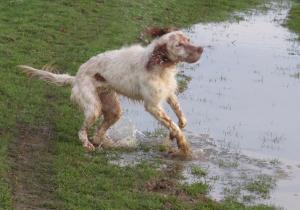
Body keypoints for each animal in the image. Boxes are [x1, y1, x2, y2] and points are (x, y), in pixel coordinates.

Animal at [19, 27, 204, 156]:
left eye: (188, 39)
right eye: (179, 45)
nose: (201, 49)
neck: (160, 65)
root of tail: (76, 77)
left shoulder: (168, 93)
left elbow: (181, 118)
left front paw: (175, 134)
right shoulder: (152, 105)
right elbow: (174, 125)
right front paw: (183, 146)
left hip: (114, 108)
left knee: (99, 133)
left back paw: (108, 143)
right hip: (94, 108)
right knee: (82, 131)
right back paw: (87, 144)